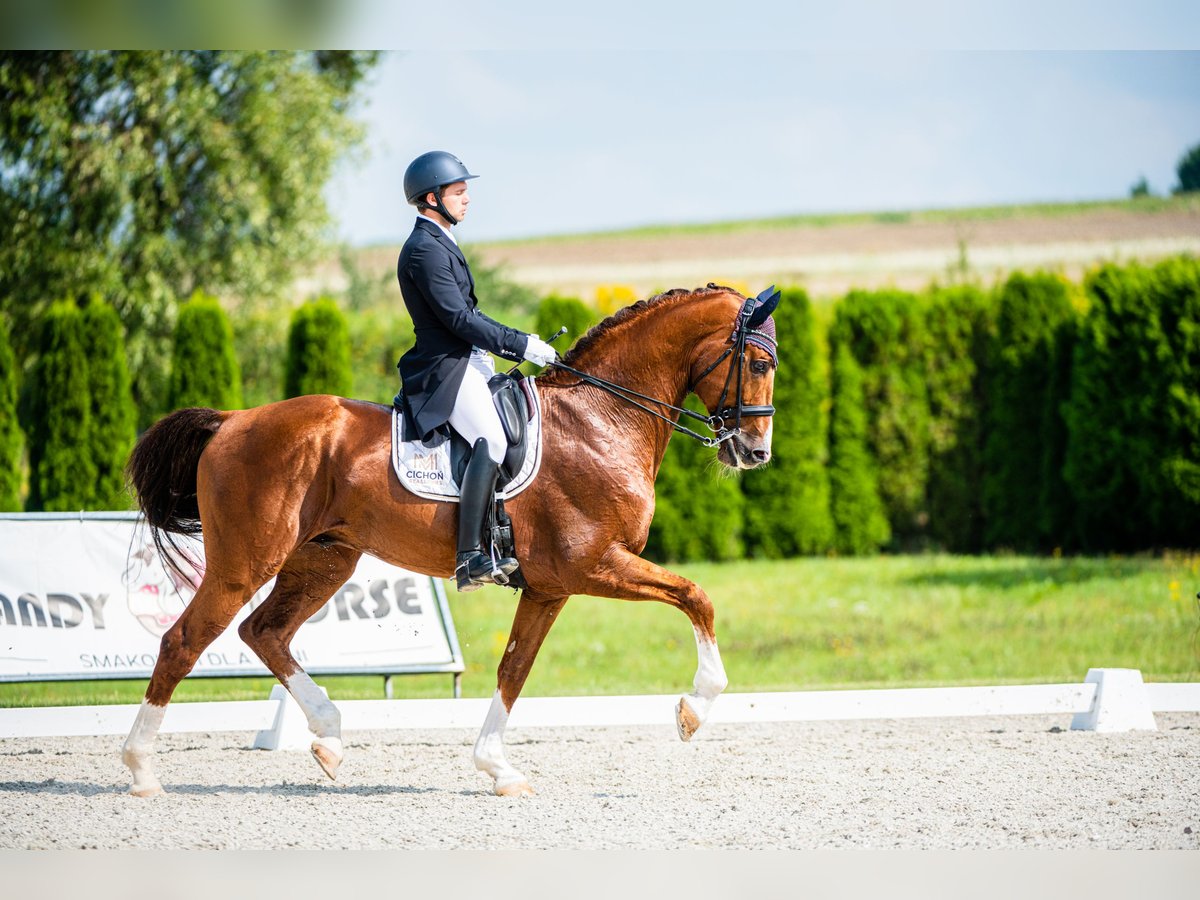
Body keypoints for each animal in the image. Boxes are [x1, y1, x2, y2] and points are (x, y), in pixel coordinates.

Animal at [121, 285, 777, 801]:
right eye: (758, 361)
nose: (755, 452)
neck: (601, 418)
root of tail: (232, 420)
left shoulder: (550, 587)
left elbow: (514, 668)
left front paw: (498, 769)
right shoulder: (593, 565)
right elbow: (696, 596)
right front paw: (695, 709)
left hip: (325, 559)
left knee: (264, 632)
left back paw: (329, 737)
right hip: (246, 562)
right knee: (183, 641)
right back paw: (143, 771)